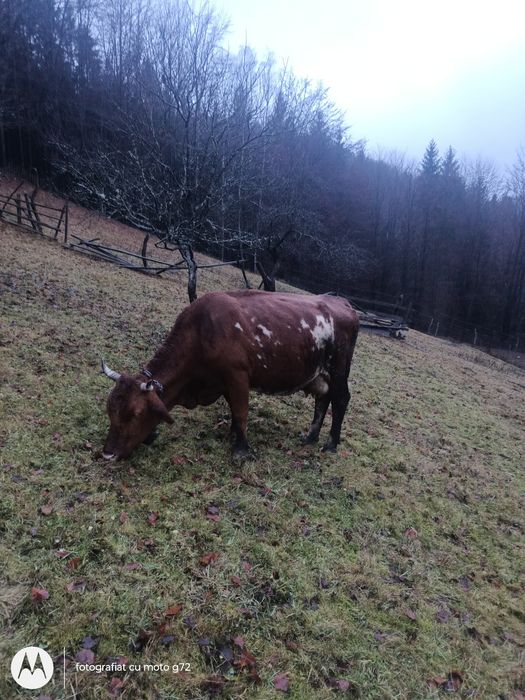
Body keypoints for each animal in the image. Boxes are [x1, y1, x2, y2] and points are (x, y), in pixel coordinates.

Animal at [100, 290, 359, 461]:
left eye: (134, 414)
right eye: (110, 410)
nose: (107, 454)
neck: (201, 331)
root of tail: (341, 301)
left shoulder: (237, 375)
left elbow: (241, 411)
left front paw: (241, 449)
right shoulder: (222, 382)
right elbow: (234, 412)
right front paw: (232, 434)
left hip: (339, 370)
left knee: (341, 399)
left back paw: (331, 444)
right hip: (320, 374)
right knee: (322, 400)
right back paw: (311, 437)